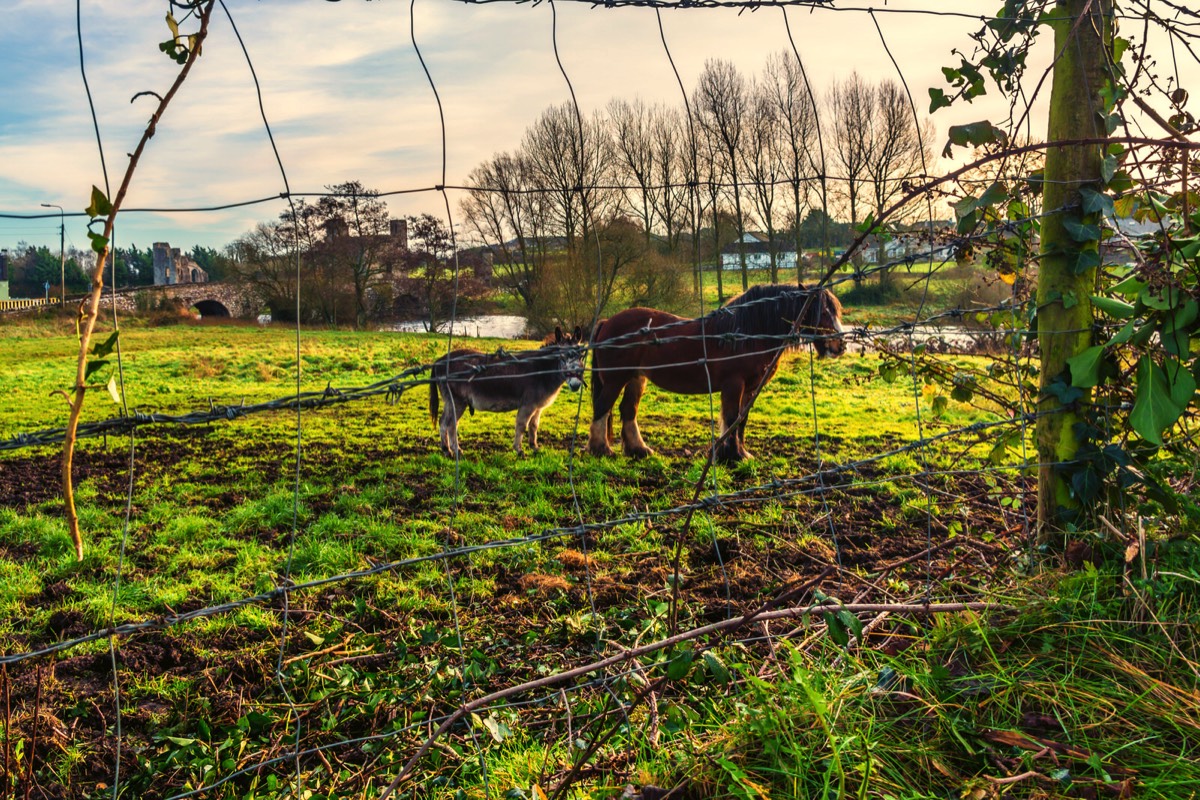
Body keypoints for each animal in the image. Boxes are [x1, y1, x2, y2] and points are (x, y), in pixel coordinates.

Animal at [432, 326, 585, 455]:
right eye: (562, 357)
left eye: (581, 357)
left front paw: (534, 447)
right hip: (457, 401)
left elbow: (534, 426)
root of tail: (440, 360)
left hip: (451, 401)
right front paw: (519, 450)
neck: (542, 370)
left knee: (445, 422)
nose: (576, 385)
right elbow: (521, 425)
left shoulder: (538, 407)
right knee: (450, 424)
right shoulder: (528, 405)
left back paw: (447, 449)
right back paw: (454, 450)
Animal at [588, 286, 844, 462]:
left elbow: (742, 420)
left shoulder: (750, 387)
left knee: (628, 411)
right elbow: (731, 418)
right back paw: (601, 450)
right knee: (602, 407)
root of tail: (606, 322)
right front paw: (732, 455)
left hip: (635, 378)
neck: (746, 334)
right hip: (615, 380)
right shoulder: (734, 384)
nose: (839, 346)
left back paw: (639, 450)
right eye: (822, 312)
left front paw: (740, 453)